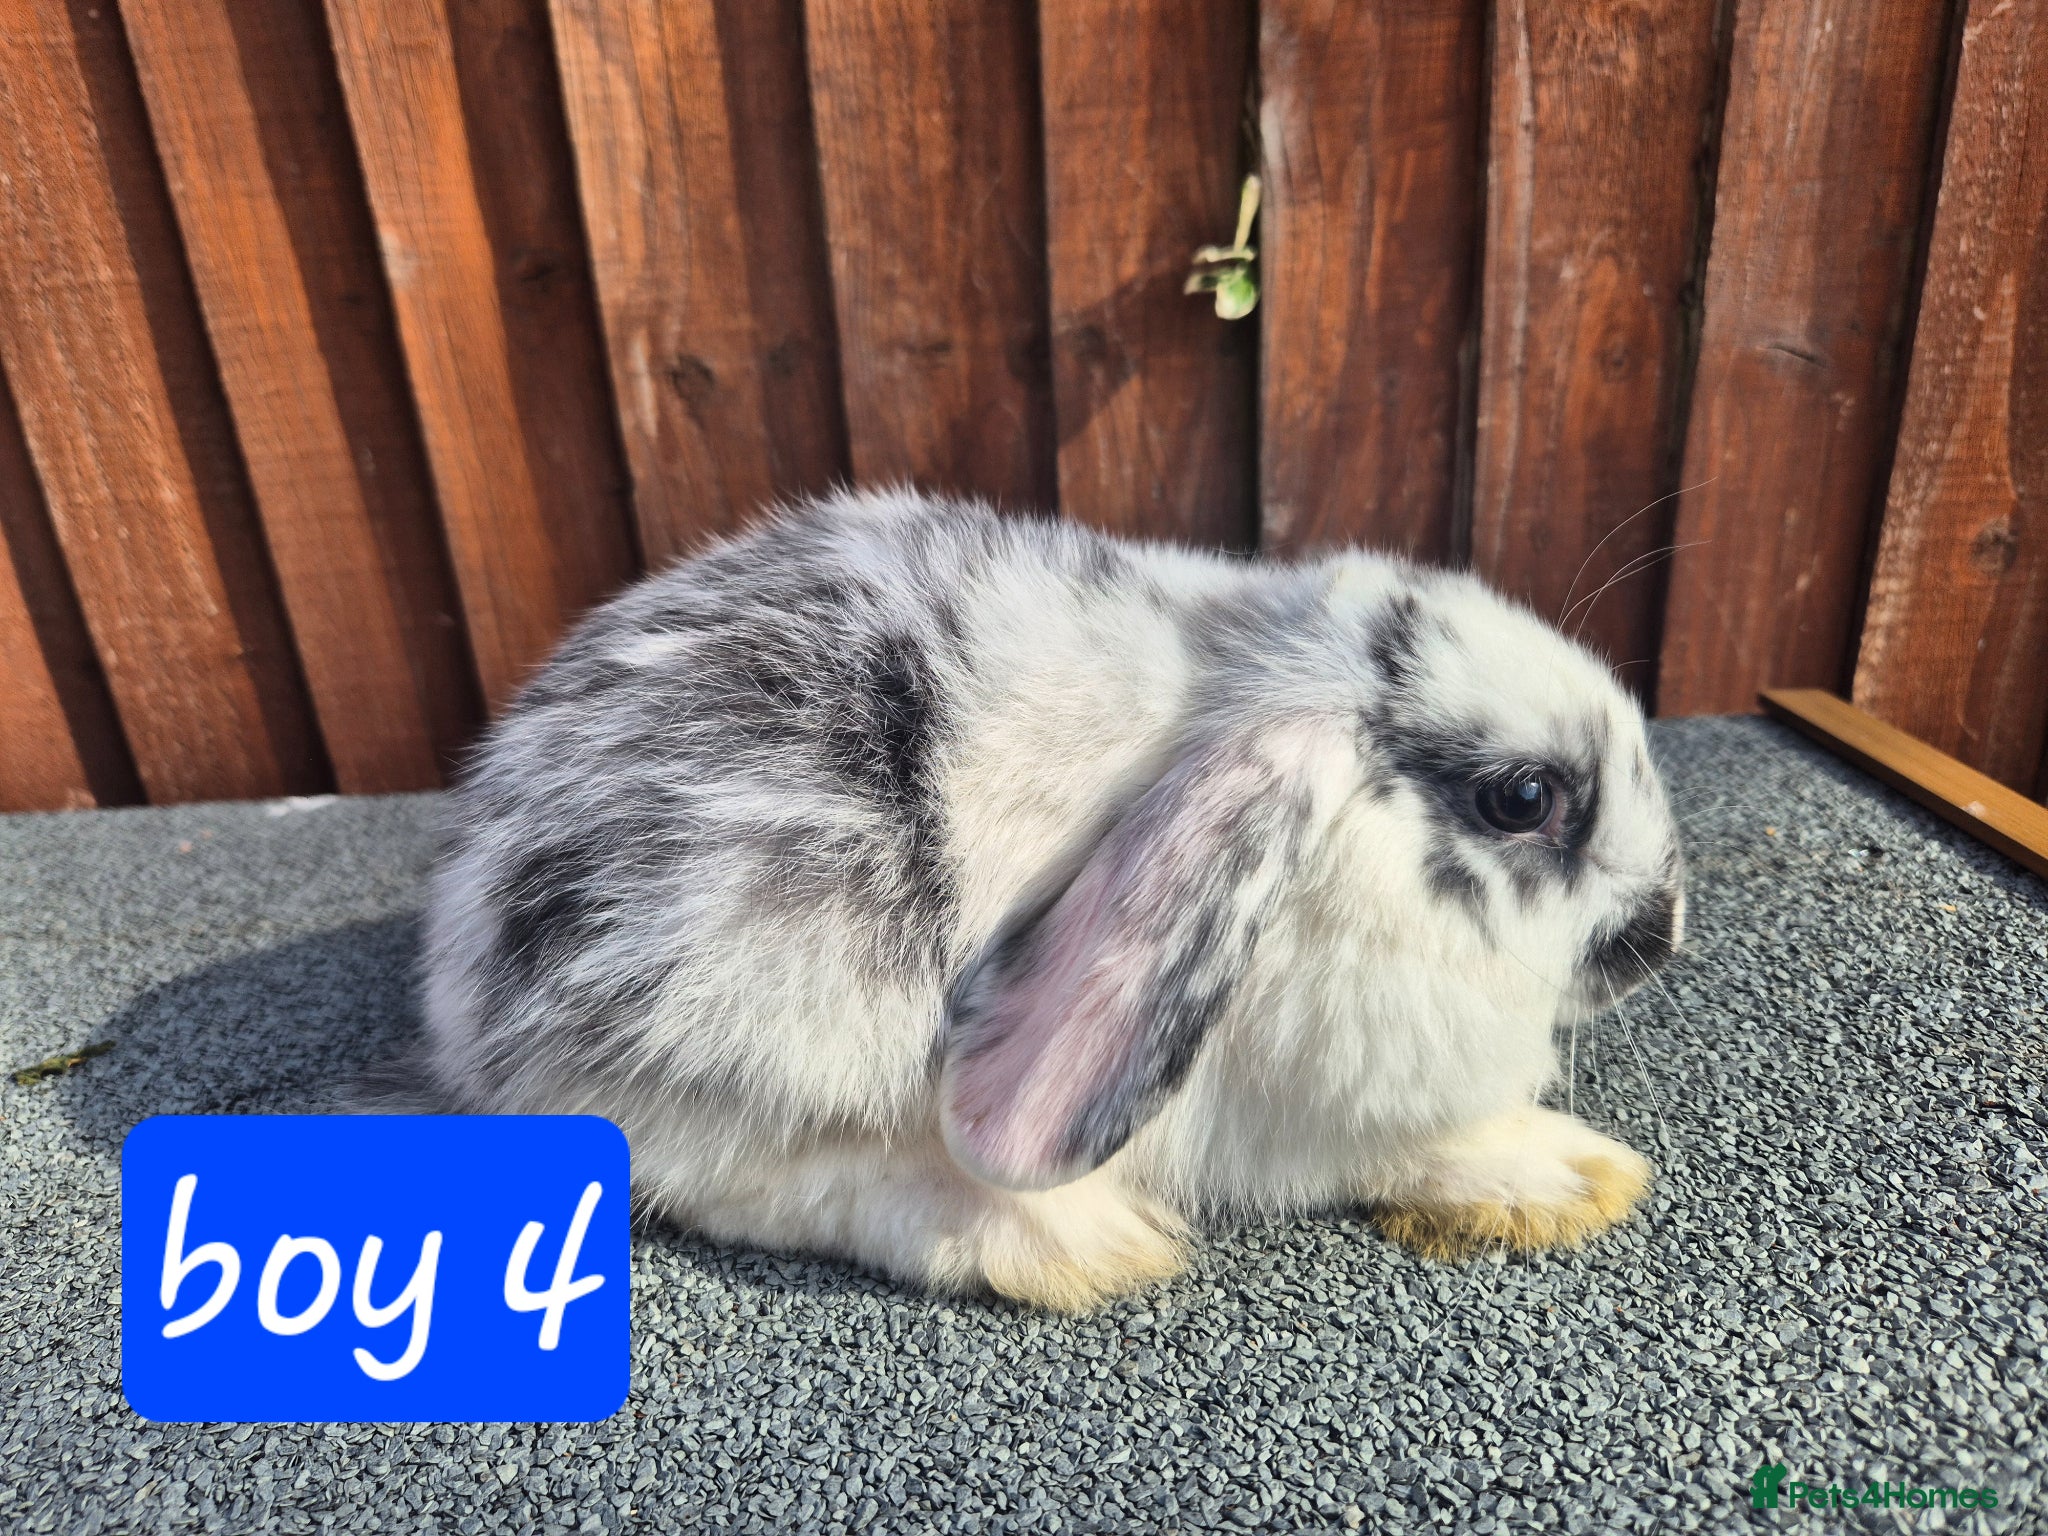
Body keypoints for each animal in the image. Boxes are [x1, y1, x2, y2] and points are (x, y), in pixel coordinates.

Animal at [420, 487, 1685, 1311]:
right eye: (1521, 797)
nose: (1660, 931)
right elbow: (1404, 1147)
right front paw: (1566, 1173)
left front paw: (1582, 1177)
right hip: (767, 1010)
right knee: (751, 1182)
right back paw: (1057, 1239)